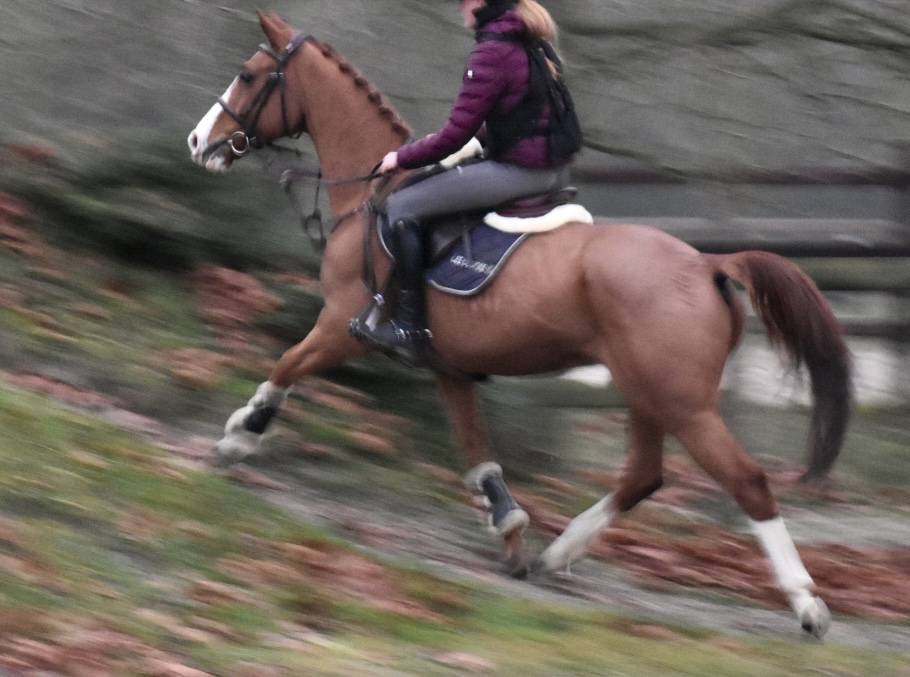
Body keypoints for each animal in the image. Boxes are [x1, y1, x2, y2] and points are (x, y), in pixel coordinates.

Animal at [187, 12, 851, 639]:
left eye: (248, 75)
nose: (198, 141)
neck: (375, 194)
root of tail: (708, 264)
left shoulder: (339, 324)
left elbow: (286, 366)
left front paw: (239, 436)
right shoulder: (448, 367)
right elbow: (479, 455)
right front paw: (509, 530)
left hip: (682, 401)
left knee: (748, 482)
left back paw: (806, 605)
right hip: (645, 392)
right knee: (643, 476)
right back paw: (558, 553)